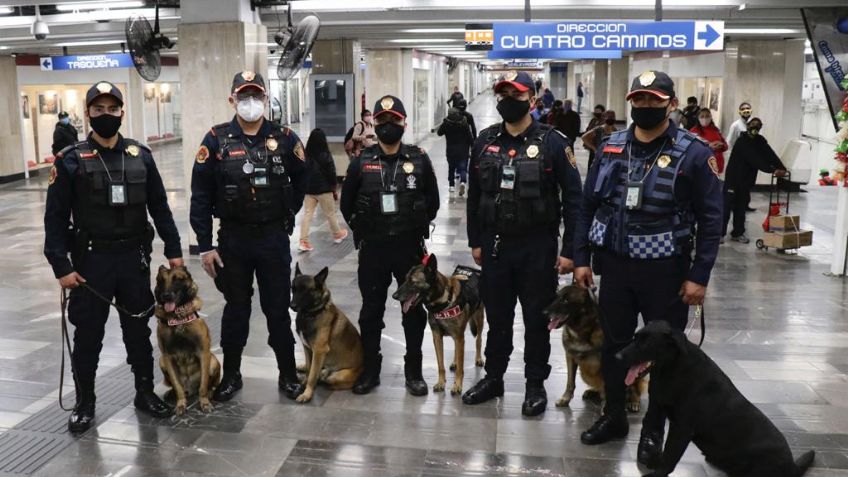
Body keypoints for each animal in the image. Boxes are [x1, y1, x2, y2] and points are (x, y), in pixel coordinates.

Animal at [155, 266, 222, 414]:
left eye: (177, 279)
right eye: (161, 280)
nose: (166, 295)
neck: (178, 317)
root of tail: (190, 389)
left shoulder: (203, 353)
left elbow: (203, 385)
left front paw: (204, 403)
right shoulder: (167, 357)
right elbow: (177, 386)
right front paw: (180, 404)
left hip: (213, 361)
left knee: (210, 385)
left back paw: (210, 393)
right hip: (161, 361)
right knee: (178, 387)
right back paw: (172, 393)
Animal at [292, 264, 364, 402]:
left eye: (306, 291)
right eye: (293, 289)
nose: (291, 305)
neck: (312, 313)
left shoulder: (319, 351)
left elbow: (312, 375)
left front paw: (307, 393)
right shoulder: (307, 348)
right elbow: (309, 369)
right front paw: (304, 382)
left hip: (336, 376)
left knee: (330, 380)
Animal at [392, 253, 484, 394]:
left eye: (413, 281)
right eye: (405, 279)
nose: (394, 296)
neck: (442, 302)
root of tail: (472, 270)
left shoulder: (459, 336)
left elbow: (461, 367)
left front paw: (457, 385)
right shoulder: (437, 337)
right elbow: (441, 364)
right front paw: (441, 383)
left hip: (479, 320)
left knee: (478, 339)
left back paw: (478, 358)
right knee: (457, 349)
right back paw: (454, 362)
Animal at [616, 320, 816, 476]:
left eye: (645, 343)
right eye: (635, 338)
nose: (616, 356)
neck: (673, 369)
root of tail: (792, 467)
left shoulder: (682, 428)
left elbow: (670, 457)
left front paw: (657, 473)